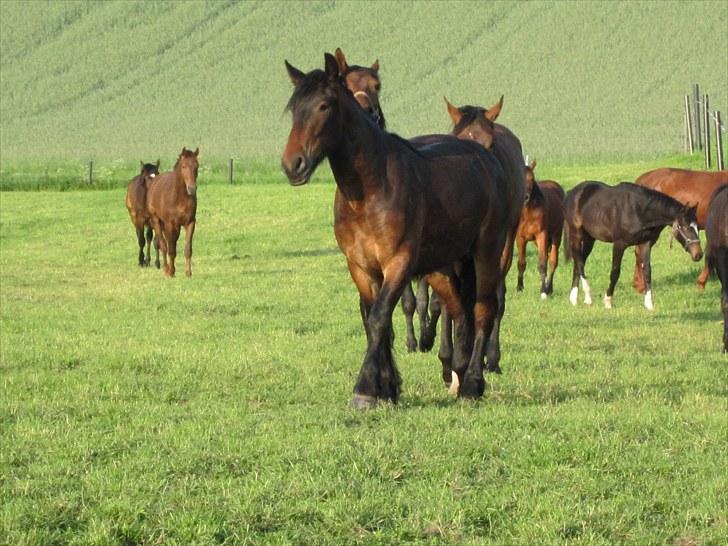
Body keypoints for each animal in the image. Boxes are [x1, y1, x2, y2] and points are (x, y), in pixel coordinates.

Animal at [147, 147, 200, 276]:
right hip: (157, 221)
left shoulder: (190, 223)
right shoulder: (169, 224)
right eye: (184, 166)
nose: (192, 188)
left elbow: (188, 249)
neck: (179, 197)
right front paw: (171, 272)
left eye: (197, 166)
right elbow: (170, 249)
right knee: (163, 244)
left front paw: (188, 273)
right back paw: (166, 269)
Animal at [280, 55, 512, 406]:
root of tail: (487, 159)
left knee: (484, 309)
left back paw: (472, 383)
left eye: (324, 105)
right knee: (459, 311)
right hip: (446, 266)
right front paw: (387, 387)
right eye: (294, 108)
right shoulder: (361, 267)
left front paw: (365, 390)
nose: (293, 164)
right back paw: (457, 373)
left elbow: (379, 318)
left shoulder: (398, 263)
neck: (369, 192)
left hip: (487, 252)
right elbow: (374, 320)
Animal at [440, 94, 528, 374]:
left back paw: (491, 358)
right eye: (459, 140)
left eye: (490, 144)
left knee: (496, 296)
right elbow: (449, 299)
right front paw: (448, 357)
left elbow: (488, 300)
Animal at [516, 158, 564, 298]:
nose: (525, 197)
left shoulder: (542, 235)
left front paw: (543, 291)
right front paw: (519, 287)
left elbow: (542, 263)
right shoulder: (520, 238)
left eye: (532, 179)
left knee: (552, 261)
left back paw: (549, 288)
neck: (528, 213)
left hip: (556, 237)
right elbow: (521, 263)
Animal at [564, 181, 704, 308]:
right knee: (579, 262)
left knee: (579, 261)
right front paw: (608, 301)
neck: (638, 211)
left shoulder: (646, 244)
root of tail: (572, 193)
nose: (698, 254)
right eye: (685, 227)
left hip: (590, 238)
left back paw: (573, 298)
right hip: (577, 234)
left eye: (696, 226)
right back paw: (587, 297)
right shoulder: (619, 244)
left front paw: (649, 304)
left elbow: (647, 272)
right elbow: (615, 272)